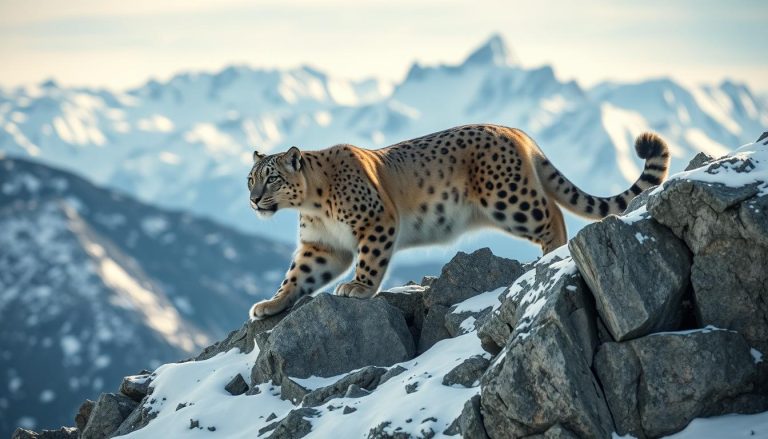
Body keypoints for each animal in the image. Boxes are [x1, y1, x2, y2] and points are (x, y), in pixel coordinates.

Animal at [246, 124, 669, 319]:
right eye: (250, 178)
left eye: (272, 177)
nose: (252, 200)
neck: (313, 207)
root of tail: (518, 132)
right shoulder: (320, 245)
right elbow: (297, 276)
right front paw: (271, 303)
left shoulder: (375, 222)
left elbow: (370, 260)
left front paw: (358, 287)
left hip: (509, 199)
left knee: (553, 214)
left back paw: (550, 255)